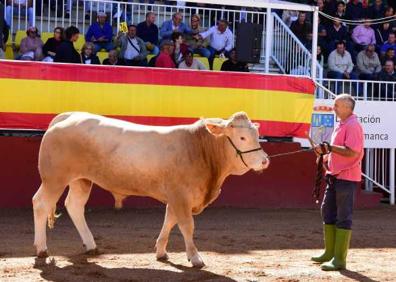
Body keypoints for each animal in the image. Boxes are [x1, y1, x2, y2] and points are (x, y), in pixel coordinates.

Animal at [33, 111, 270, 268]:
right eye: (242, 138)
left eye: (256, 136)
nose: (265, 161)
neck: (199, 148)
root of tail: (67, 117)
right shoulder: (180, 195)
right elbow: (186, 225)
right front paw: (195, 258)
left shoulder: (175, 197)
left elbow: (169, 221)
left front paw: (161, 251)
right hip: (54, 179)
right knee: (41, 204)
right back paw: (41, 249)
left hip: (81, 180)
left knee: (74, 206)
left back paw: (90, 245)